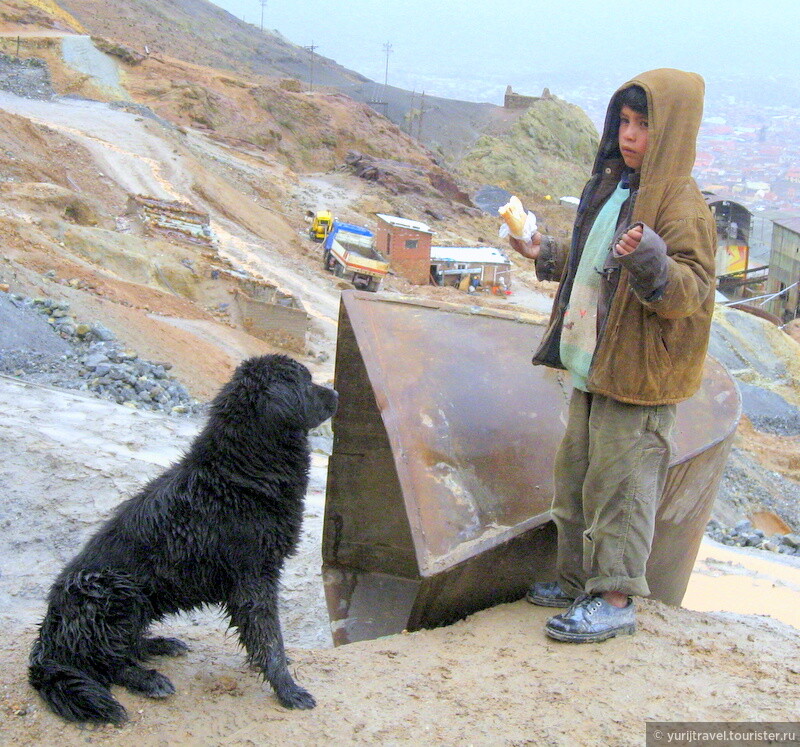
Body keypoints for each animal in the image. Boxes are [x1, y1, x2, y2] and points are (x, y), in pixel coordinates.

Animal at [28, 356, 338, 724]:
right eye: (304, 382)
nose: (336, 394)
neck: (242, 474)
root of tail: (47, 635)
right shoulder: (253, 576)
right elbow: (269, 639)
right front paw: (288, 690)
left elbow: (262, 638)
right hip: (109, 589)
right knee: (104, 661)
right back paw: (148, 679)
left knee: (121, 646)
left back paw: (159, 645)